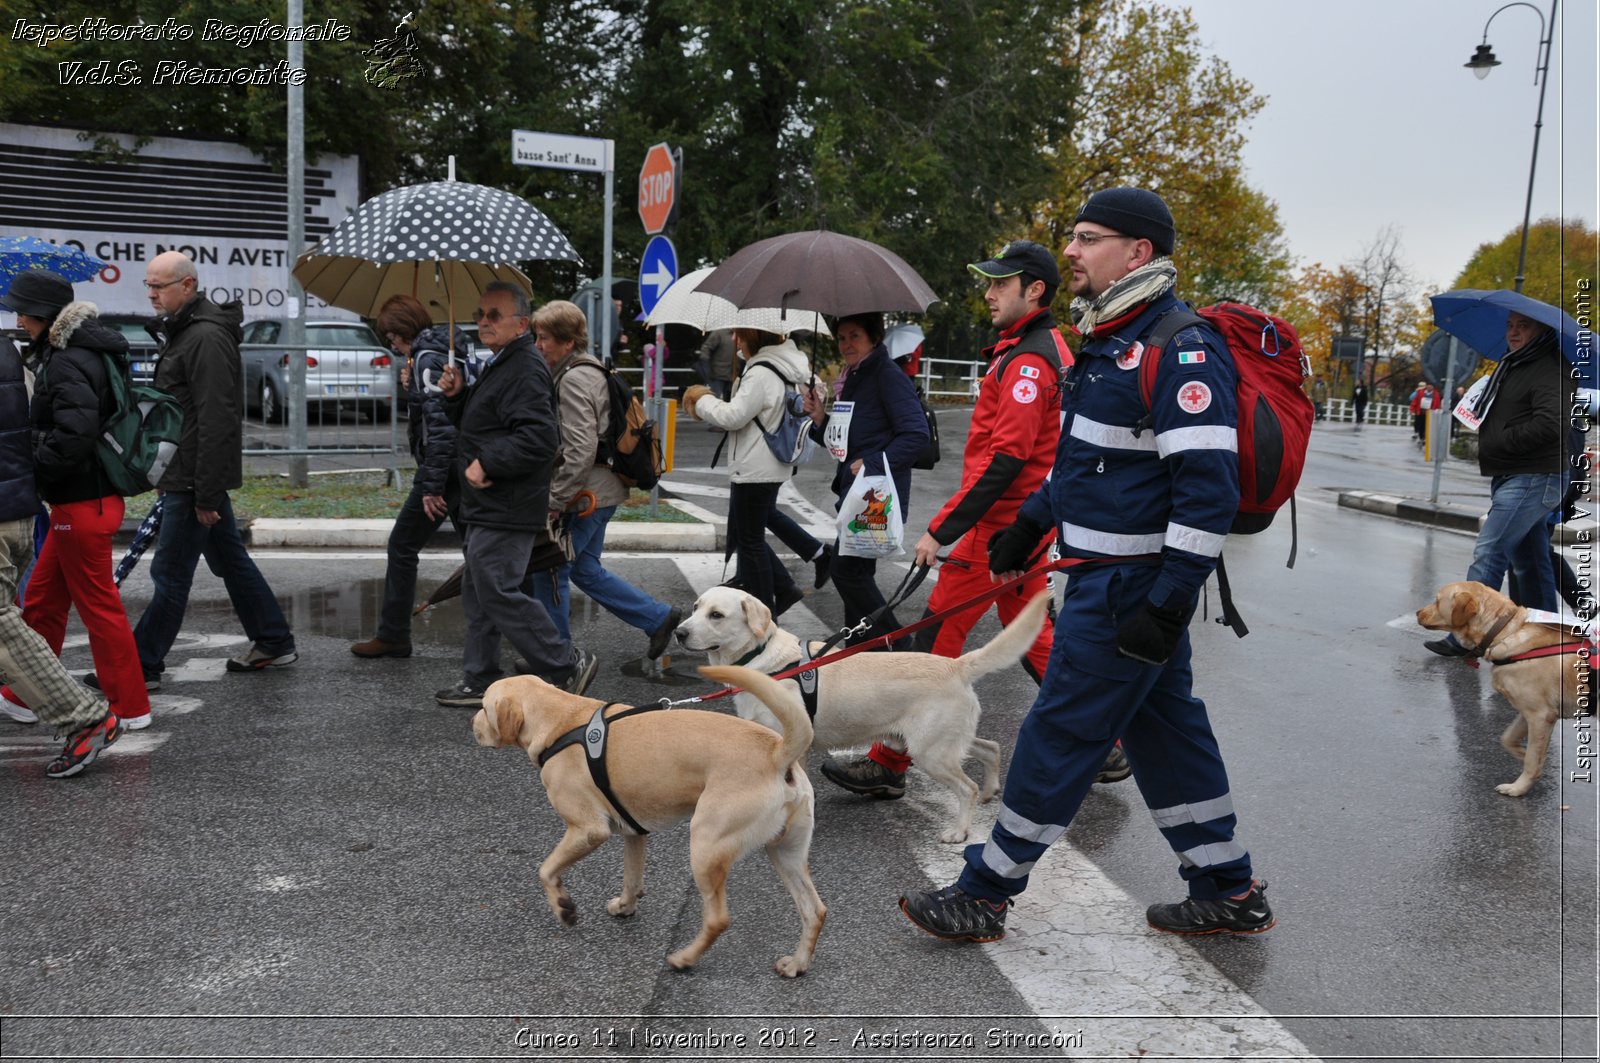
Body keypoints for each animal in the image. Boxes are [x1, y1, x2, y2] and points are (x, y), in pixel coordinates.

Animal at [470, 669, 825, 973]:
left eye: (484, 707)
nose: (472, 725)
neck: (562, 719)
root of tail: (777, 753)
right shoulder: (633, 833)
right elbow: (632, 877)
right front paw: (626, 906)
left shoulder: (588, 830)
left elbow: (545, 870)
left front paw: (563, 906)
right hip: (785, 853)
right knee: (815, 911)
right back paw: (797, 963)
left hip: (706, 846)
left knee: (718, 920)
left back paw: (684, 958)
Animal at [675, 585, 1049, 845]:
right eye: (695, 607)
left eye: (716, 615)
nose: (679, 632)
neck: (762, 659)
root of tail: (956, 665)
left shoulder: (792, 745)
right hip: (942, 742)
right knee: (991, 748)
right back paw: (990, 790)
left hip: (932, 752)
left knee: (965, 787)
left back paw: (959, 831)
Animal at [1420, 582, 1580, 797]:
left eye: (1437, 601)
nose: (1417, 613)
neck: (1504, 632)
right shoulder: (1531, 712)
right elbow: (1508, 739)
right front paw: (1523, 755)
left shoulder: (1540, 715)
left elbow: (1531, 760)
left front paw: (1518, 787)